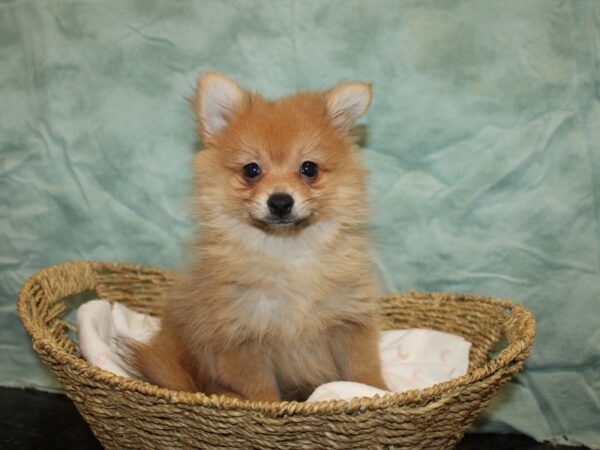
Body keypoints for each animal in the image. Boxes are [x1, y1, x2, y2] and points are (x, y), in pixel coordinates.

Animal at [128, 73, 386, 400]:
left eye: (309, 168)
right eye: (251, 170)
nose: (280, 201)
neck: (287, 252)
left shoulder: (350, 321)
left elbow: (364, 371)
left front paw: (382, 393)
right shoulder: (242, 339)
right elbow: (261, 394)